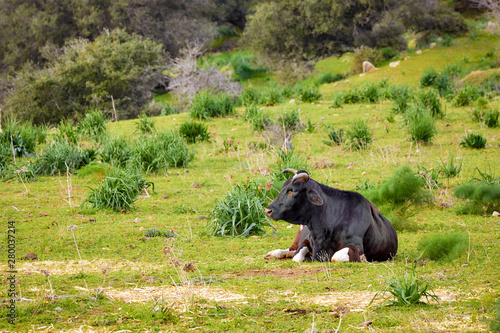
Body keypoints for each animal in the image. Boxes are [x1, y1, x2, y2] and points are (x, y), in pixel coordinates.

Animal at [264, 169, 396, 262]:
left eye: (293, 190)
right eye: (283, 188)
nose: (268, 210)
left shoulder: (356, 246)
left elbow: (336, 257)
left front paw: (363, 259)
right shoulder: (306, 240)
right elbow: (297, 256)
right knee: (291, 249)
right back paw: (274, 253)